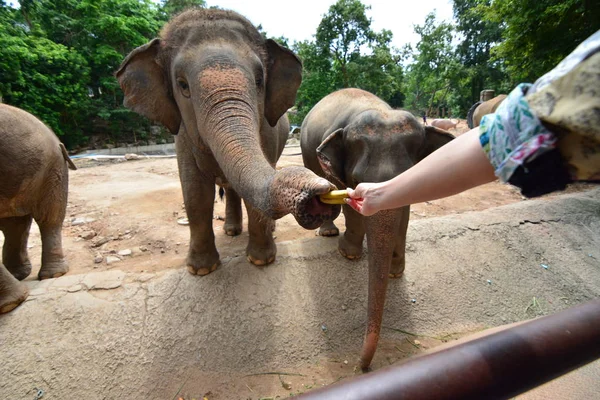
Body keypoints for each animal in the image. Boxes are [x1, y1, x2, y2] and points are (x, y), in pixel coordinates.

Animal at [0, 104, 76, 314]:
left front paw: (9, 305)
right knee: (14, 224)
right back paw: (19, 275)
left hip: (51, 169)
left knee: (49, 217)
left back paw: (52, 276)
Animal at [115, 8, 340, 276]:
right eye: (182, 85)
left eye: (259, 80)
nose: (320, 190)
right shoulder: (181, 135)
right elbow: (194, 192)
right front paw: (201, 270)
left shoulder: (267, 131)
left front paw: (261, 260)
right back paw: (231, 231)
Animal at [300, 88, 454, 368]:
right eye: (357, 180)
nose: (363, 367)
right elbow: (350, 204)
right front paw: (349, 253)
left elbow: (404, 212)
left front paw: (395, 271)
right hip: (307, 150)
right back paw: (328, 232)